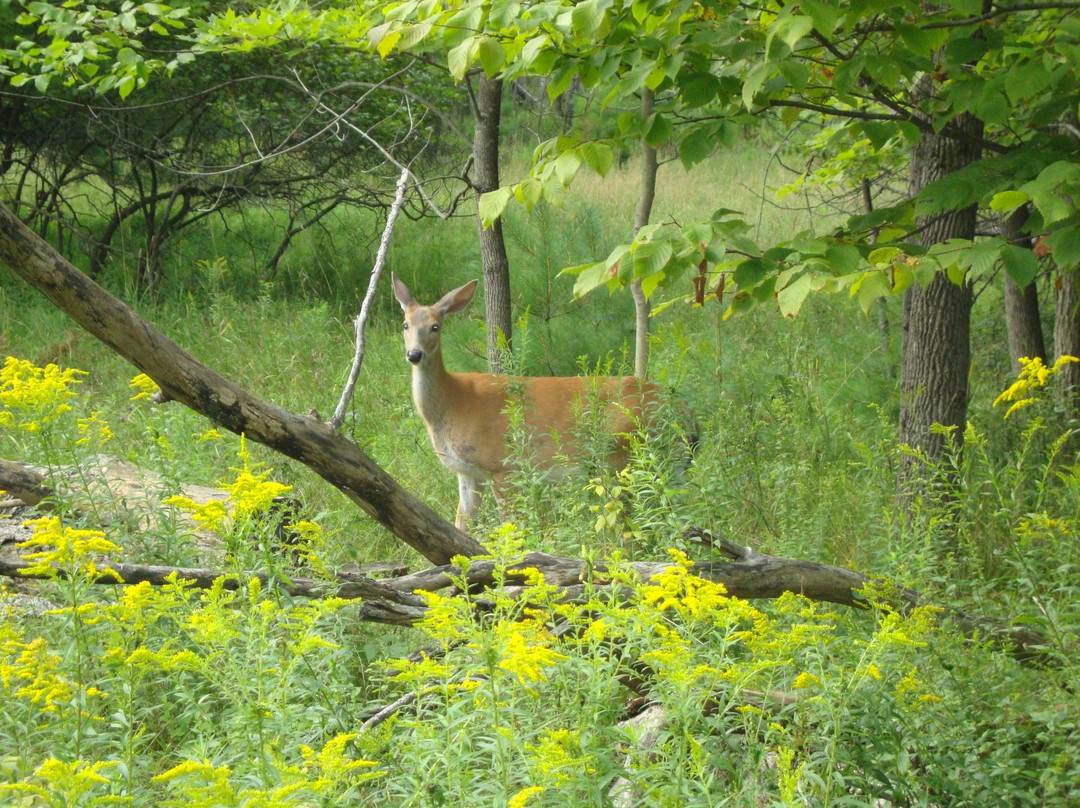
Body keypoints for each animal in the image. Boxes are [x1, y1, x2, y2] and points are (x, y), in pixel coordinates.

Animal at [393, 274, 669, 533]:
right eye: (405, 324)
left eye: (435, 326)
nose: (414, 354)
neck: (453, 402)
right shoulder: (468, 472)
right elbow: (462, 523)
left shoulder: (502, 465)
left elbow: (510, 524)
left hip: (622, 450)